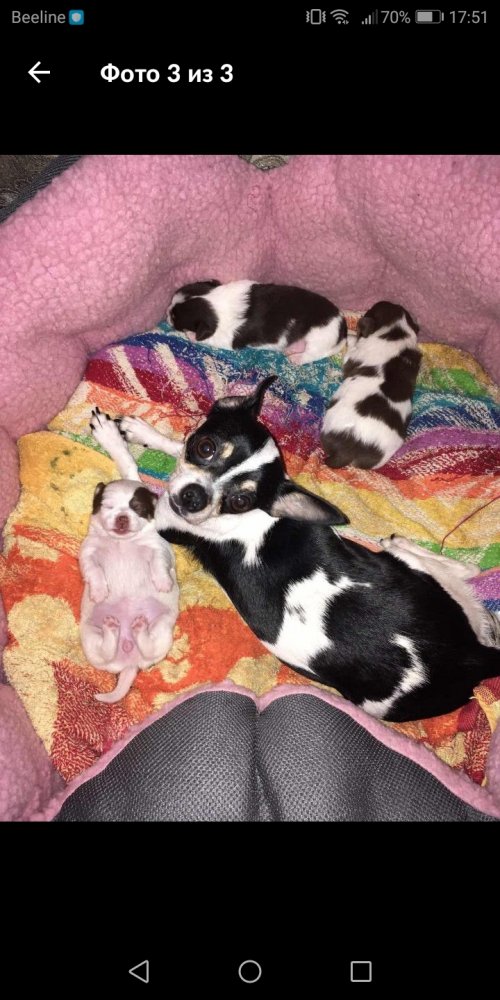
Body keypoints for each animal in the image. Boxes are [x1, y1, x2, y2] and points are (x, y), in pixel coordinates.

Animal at [79, 441, 179, 703]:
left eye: (137, 508)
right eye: (108, 506)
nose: (122, 518)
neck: (122, 541)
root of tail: (129, 661)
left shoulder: (158, 547)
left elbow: (158, 562)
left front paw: (162, 582)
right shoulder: (87, 551)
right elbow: (93, 568)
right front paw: (99, 591)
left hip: (163, 629)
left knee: (150, 645)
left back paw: (137, 629)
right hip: (90, 636)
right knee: (104, 650)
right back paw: (113, 630)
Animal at [90, 380, 500, 723]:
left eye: (241, 500)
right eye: (205, 447)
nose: (195, 496)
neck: (257, 516)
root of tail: (471, 659)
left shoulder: (161, 517)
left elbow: (132, 475)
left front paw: (115, 440)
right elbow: (177, 447)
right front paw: (146, 433)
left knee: (453, 570)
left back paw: (398, 542)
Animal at [167, 279, 346, 365]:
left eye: (175, 318)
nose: (167, 311)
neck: (214, 302)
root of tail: (343, 329)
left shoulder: (229, 338)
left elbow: (207, 338)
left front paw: (190, 335)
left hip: (319, 339)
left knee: (312, 355)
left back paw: (295, 358)